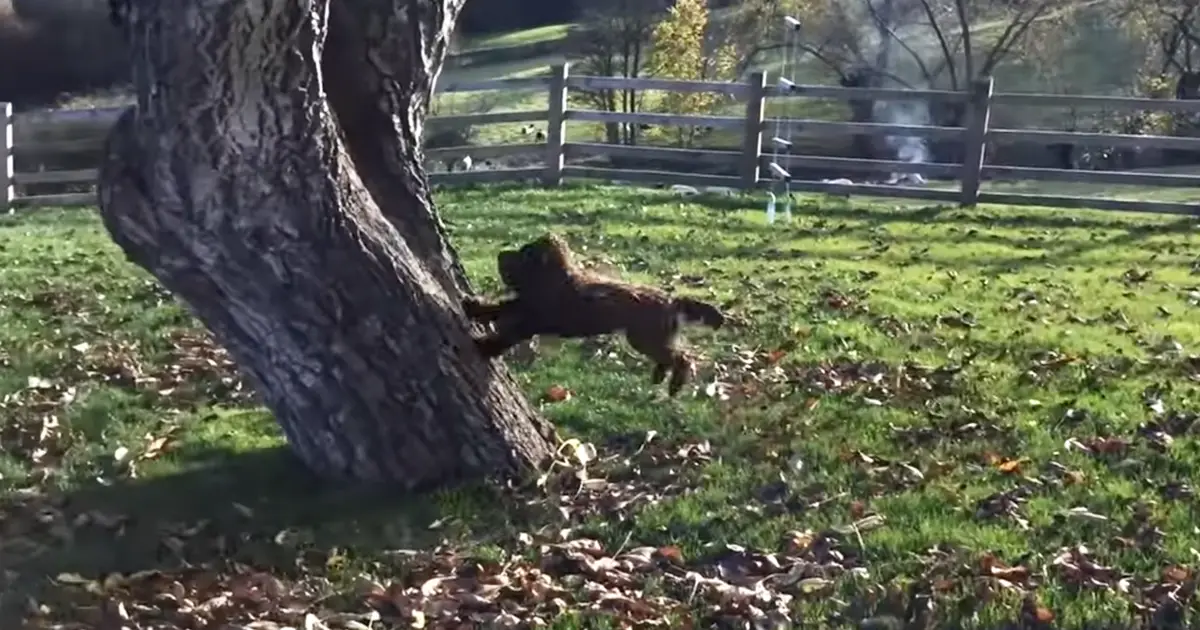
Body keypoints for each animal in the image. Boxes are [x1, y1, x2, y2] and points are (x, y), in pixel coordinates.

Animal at [458, 232, 720, 396]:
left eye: (523, 254)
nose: (500, 255)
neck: (554, 279)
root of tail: (671, 300)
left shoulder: (534, 318)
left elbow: (510, 334)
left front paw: (485, 346)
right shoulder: (525, 304)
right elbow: (501, 307)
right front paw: (473, 307)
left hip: (644, 337)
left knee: (682, 357)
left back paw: (675, 385)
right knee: (670, 355)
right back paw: (659, 375)